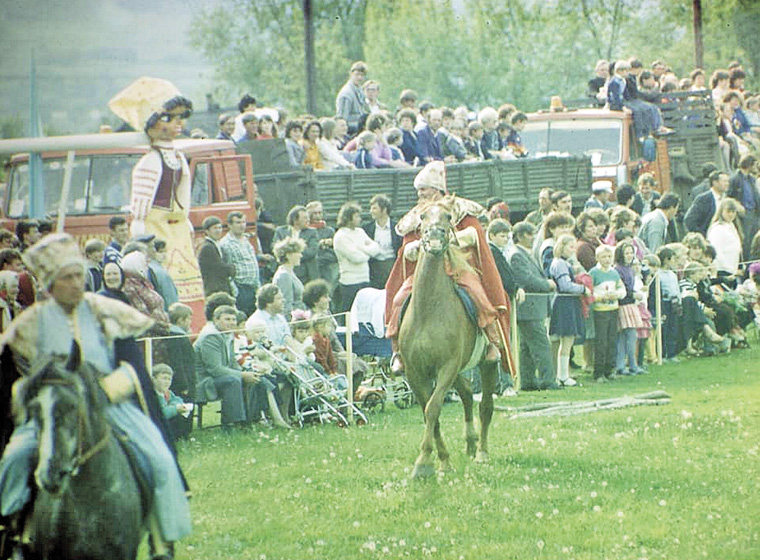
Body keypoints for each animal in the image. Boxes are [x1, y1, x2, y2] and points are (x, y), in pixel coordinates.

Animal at [398, 199, 498, 480]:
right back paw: (470, 442)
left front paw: (423, 462)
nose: (434, 237)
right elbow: (428, 412)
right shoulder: (415, 373)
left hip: (486, 364)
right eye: (422, 217)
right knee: (466, 393)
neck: (428, 310)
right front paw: (442, 460)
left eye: (448, 216)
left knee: (485, 406)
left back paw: (482, 452)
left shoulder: (447, 367)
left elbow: (433, 408)